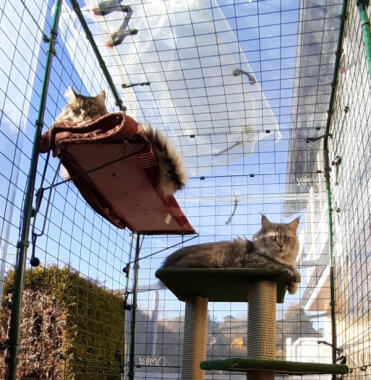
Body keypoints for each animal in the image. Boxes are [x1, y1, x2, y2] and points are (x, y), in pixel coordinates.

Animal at [163, 214, 302, 294]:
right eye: (273, 238)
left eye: (286, 238)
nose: (281, 245)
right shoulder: (254, 261)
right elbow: (282, 266)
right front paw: (294, 276)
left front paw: (293, 287)